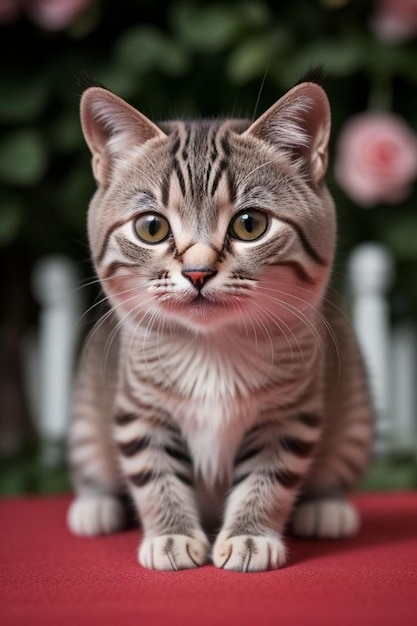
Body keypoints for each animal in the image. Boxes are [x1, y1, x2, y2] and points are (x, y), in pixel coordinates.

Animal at [66, 78, 372, 572]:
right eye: (151, 228)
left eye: (250, 224)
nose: (197, 272)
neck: (212, 348)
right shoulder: (140, 408)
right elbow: (154, 472)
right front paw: (171, 535)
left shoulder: (289, 413)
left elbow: (268, 476)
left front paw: (251, 536)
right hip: (87, 413)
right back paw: (95, 504)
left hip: (354, 412)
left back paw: (327, 506)